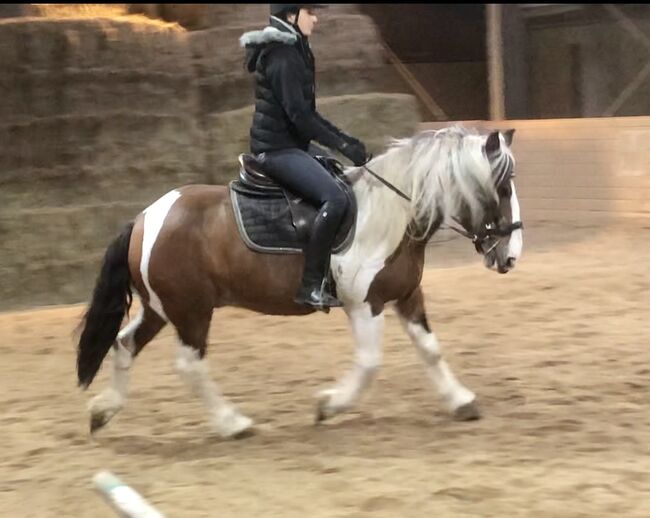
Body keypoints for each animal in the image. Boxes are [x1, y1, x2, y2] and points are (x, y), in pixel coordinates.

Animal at [76, 126, 520, 438]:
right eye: (500, 187)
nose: (511, 255)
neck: (392, 211)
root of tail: (144, 218)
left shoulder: (407, 295)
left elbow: (430, 350)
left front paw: (461, 401)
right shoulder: (365, 304)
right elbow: (370, 363)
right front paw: (329, 405)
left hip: (162, 309)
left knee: (123, 344)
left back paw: (102, 412)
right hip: (192, 313)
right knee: (189, 364)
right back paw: (232, 423)